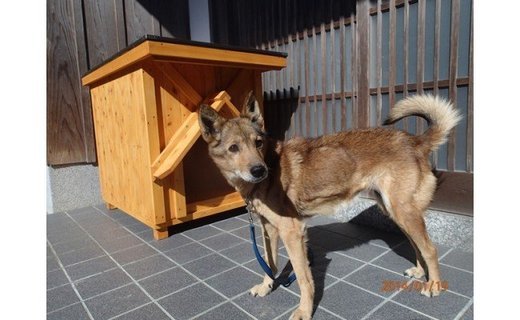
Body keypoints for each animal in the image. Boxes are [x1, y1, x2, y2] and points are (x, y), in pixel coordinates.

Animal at [198, 91, 460, 318]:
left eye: (258, 143)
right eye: (234, 148)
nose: (258, 171)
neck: (271, 166)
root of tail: (416, 141)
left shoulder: (292, 232)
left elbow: (304, 279)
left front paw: (304, 311)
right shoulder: (269, 230)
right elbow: (268, 264)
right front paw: (266, 287)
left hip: (403, 211)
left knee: (430, 249)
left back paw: (434, 284)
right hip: (395, 211)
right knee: (418, 245)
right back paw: (419, 272)